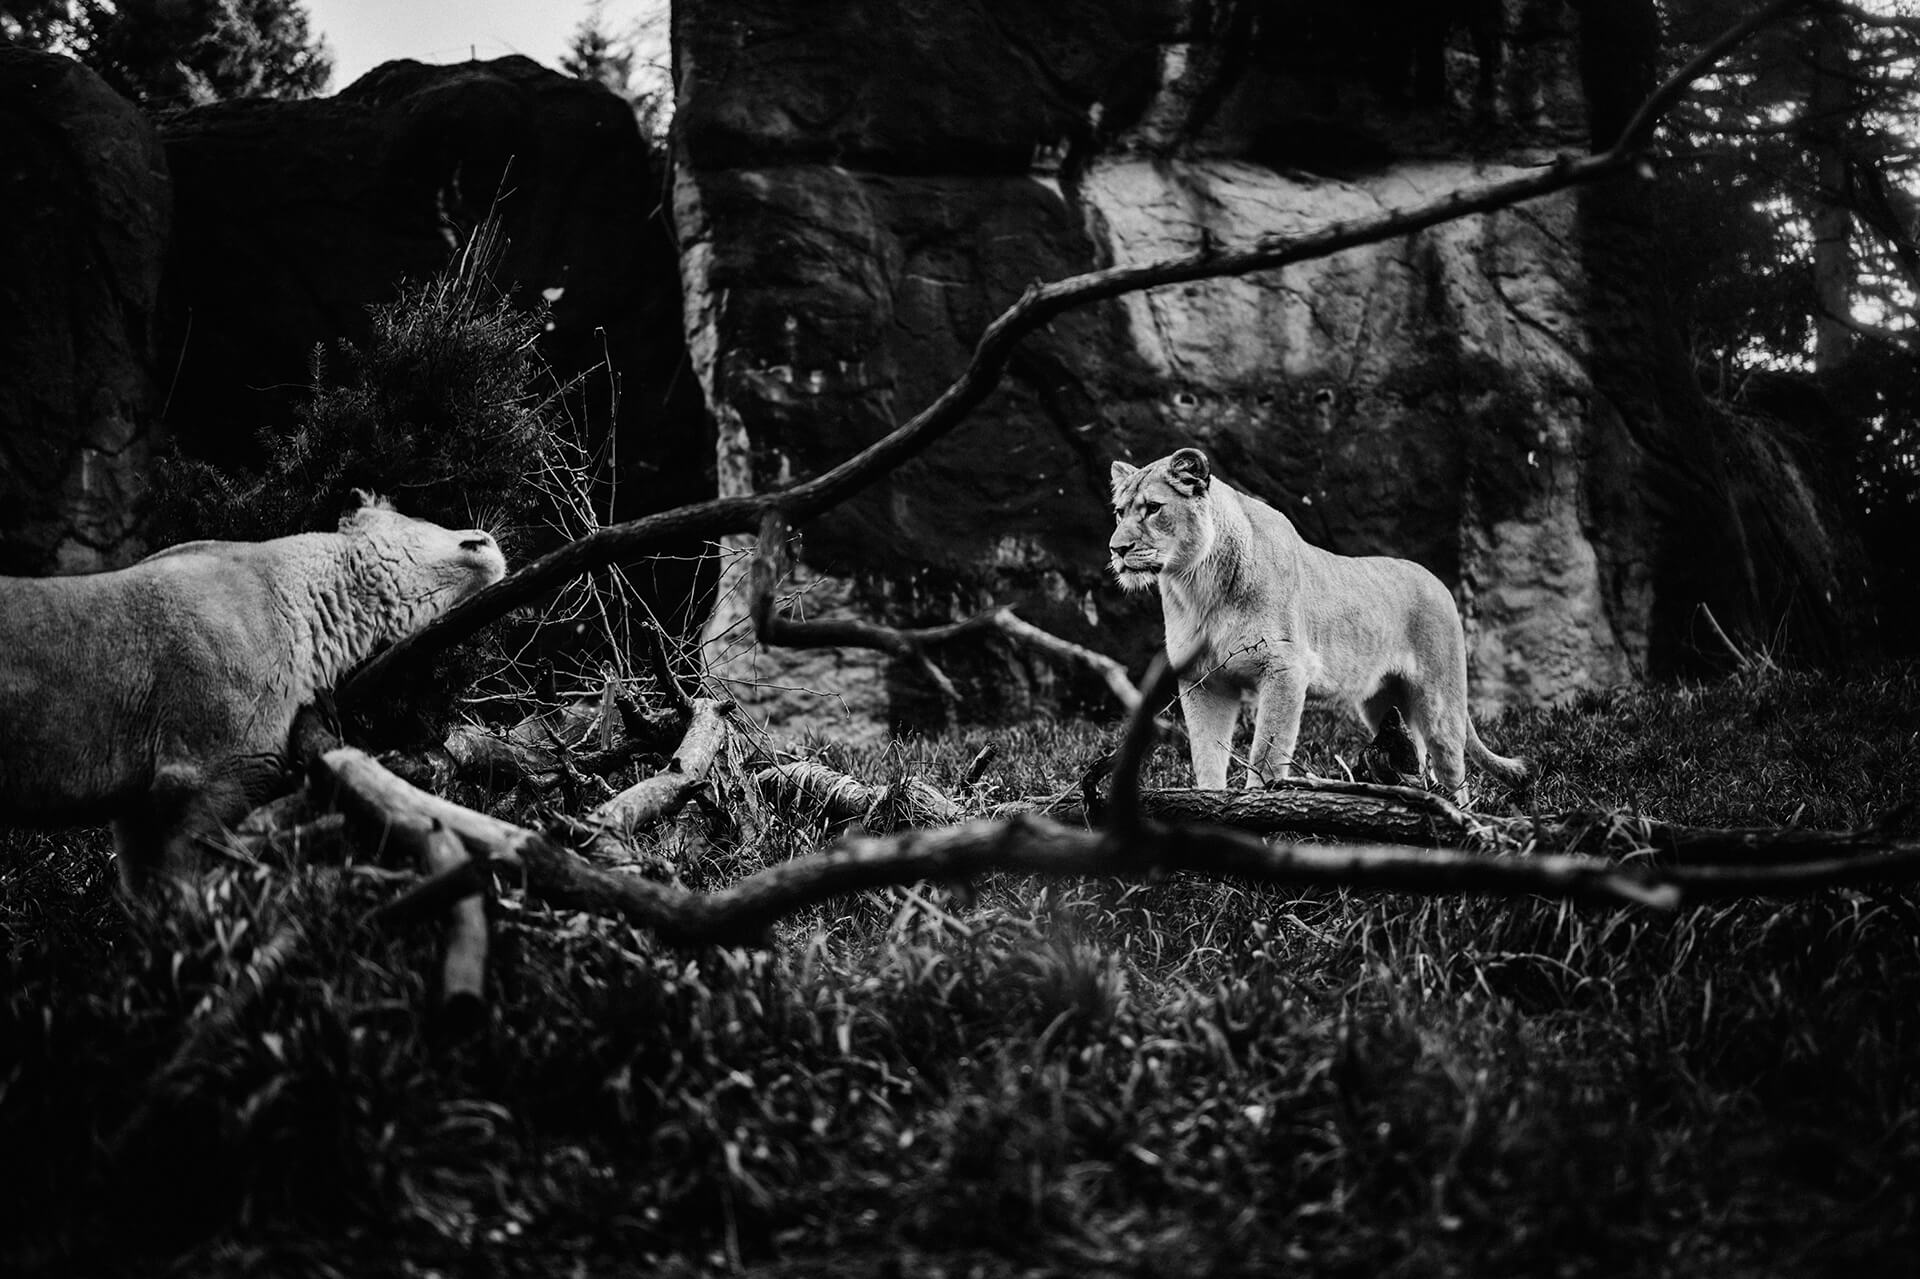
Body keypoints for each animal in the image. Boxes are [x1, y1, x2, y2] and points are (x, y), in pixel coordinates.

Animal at [1109, 447, 1528, 801]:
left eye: (1153, 508)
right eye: (1119, 512)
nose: (1117, 549)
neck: (1198, 584)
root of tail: (1437, 582)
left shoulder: (1285, 668)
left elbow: (1267, 751)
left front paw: (1259, 805)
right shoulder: (1202, 679)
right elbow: (1205, 751)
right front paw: (1208, 804)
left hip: (1440, 700)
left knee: (1453, 768)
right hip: (1384, 703)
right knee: (1414, 753)